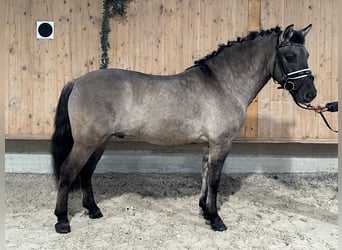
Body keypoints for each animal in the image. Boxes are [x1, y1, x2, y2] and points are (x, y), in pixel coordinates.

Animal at [51, 24, 318, 233]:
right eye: (290, 56)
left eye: (307, 54)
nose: (310, 94)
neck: (223, 84)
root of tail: (77, 81)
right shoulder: (221, 144)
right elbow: (215, 181)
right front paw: (216, 220)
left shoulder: (209, 145)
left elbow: (205, 176)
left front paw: (205, 212)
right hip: (87, 142)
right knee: (67, 172)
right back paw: (62, 221)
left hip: (100, 141)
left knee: (86, 173)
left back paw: (93, 210)